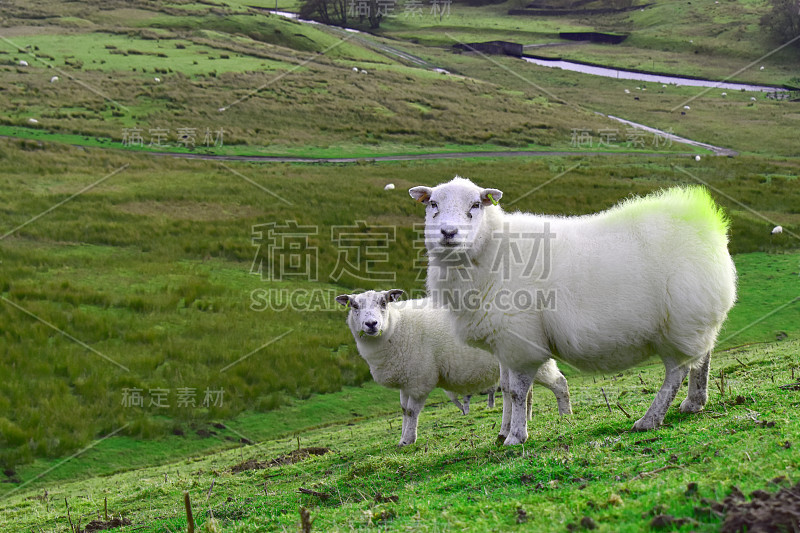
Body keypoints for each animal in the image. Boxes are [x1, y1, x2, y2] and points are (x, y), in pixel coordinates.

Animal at [334, 288, 572, 446]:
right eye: (354, 306)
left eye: (384, 302)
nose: (371, 324)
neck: (397, 326)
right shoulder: (406, 378)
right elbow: (403, 410)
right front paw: (402, 438)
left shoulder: (420, 378)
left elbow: (411, 411)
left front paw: (409, 439)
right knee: (520, 391)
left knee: (558, 382)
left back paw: (565, 415)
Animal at [412, 178, 736, 444]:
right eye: (432, 204)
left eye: (476, 204)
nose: (449, 233)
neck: (491, 249)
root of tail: (705, 223)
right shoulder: (503, 340)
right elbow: (504, 387)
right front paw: (503, 432)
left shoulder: (520, 339)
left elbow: (518, 391)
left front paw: (516, 437)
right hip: (695, 319)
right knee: (702, 358)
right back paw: (695, 402)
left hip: (679, 321)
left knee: (677, 372)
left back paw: (649, 419)